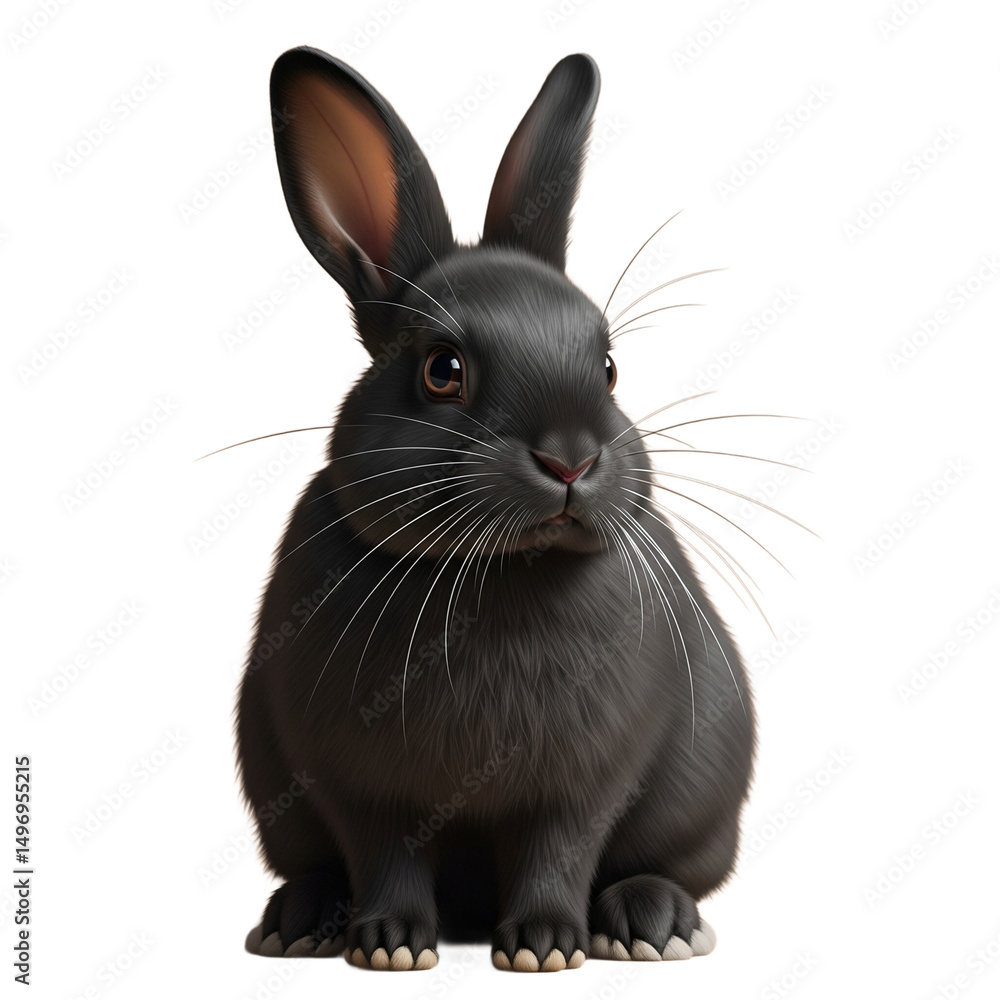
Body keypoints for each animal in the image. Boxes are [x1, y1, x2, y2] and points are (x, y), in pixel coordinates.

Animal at [236, 45, 755, 973]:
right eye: (442, 370)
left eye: (608, 364)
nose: (571, 460)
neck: (504, 571)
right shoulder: (360, 781)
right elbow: (387, 852)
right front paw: (390, 945)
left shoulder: (586, 779)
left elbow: (560, 847)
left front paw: (546, 946)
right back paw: (298, 921)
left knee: (666, 864)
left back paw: (653, 923)